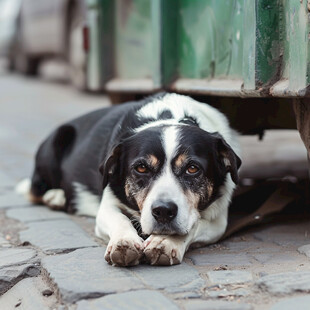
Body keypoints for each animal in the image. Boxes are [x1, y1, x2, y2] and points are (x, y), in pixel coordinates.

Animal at [17, 92, 242, 266]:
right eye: (141, 167)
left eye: (192, 168)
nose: (163, 211)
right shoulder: (107, 203)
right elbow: (120, 219)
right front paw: (124, 242)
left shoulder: (219, 221)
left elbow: (194, 224)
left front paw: (165, 242)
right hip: (54, 145)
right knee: (34, 190)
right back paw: (56, 196)